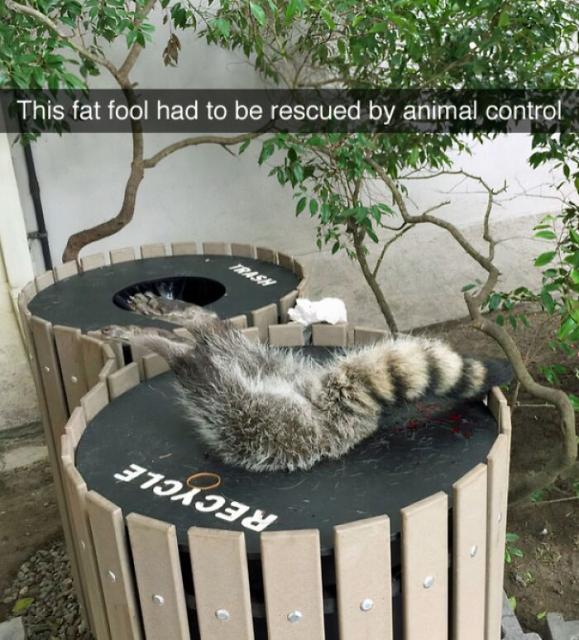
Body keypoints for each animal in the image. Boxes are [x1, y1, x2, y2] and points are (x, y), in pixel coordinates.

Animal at [104, 300, 510, 472]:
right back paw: (185, 321)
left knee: (205, 370)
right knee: (221, 342)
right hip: (270, 370)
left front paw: (168, 340)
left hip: (254, 413)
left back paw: (172, 338)